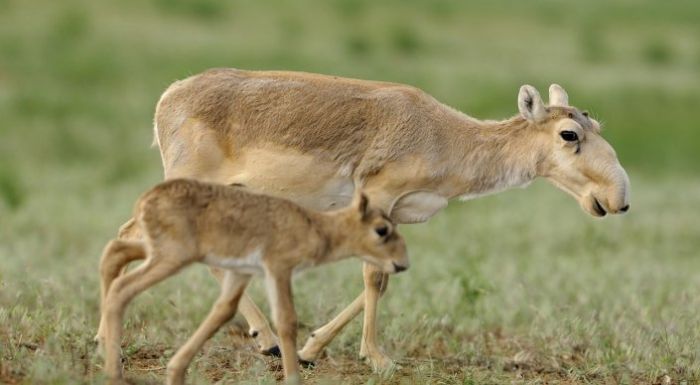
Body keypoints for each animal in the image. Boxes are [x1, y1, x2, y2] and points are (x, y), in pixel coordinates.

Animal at [95, 180, 408, 384]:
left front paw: (175, 371)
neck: (314, 226)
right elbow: (287, 321)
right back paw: (114, 370)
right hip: (170, 259)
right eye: (382, 230)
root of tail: (146, 199)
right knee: (122, 288)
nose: (402, 263)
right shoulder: (278, 269)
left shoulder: (241, 274)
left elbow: (222, 312)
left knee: (114, 252)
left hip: (158, 252)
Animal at [117, 68, 632, 368]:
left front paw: (311, 348)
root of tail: (168, 96)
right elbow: (373, 277)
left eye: (595, 124)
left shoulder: (396, 214)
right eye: (569, 134)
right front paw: (377, 358)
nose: (619, 198)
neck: (444, 136)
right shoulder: (378, 197)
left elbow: (385, 278)